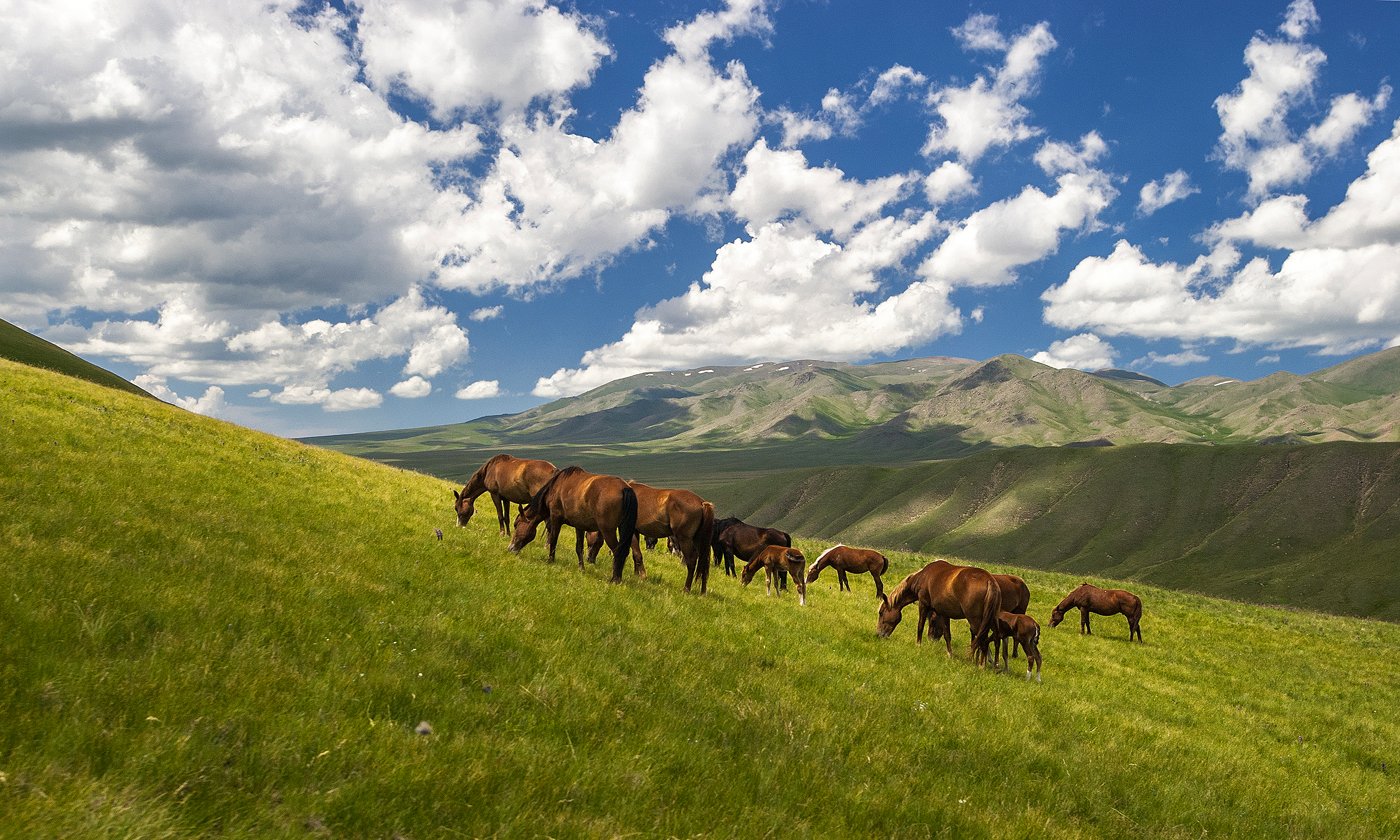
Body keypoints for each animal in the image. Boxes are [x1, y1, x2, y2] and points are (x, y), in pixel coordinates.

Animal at [509, 464, 641, 585]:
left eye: (516, 525)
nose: (510, 548)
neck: (556, 487)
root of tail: (624, 488)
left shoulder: (555, 518)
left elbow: (553, 540)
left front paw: (550, 560)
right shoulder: (579, 526)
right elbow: (579, 547)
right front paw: (581, 569)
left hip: (607, 530)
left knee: (617, 551)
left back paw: (615, 579)